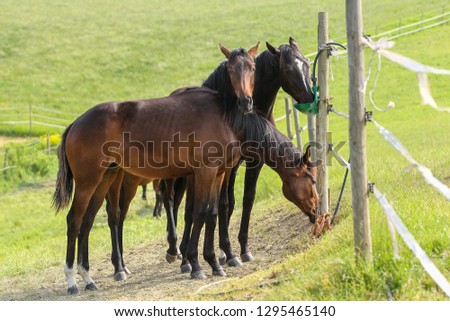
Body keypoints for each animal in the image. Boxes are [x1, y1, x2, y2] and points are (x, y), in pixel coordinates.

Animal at [51, 43, 260, 294]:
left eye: (252, 67)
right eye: (230, 69)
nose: (245, 102)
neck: (216, 110)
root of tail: (76, 123)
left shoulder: (218, 174)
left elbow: (211, 212)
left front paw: (213, 263)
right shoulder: (205, 172)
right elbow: (199, 212)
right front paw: (196, 264)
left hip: (105, 179)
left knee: (88, 221)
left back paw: (88, 278)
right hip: (88, 183)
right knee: (74, 221)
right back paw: (72, 281)